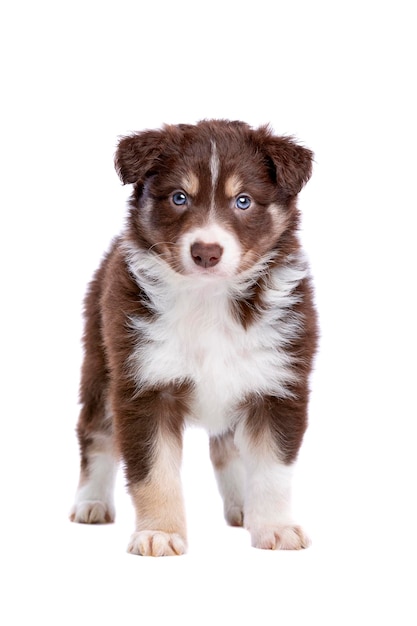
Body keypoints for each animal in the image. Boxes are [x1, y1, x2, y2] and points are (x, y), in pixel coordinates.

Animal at [70, 119, 318, 552]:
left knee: (227, 447)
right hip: (100, 365)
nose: (206, 252)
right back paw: (91, 502)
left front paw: (275, 528)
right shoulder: (143, 384)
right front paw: (159, 533)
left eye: (243, 201)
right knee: (95, 434)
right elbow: (154, 472)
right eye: (179, 197)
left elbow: (272, 469)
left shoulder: (278, 384)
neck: (209, 299)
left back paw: (242, 507)